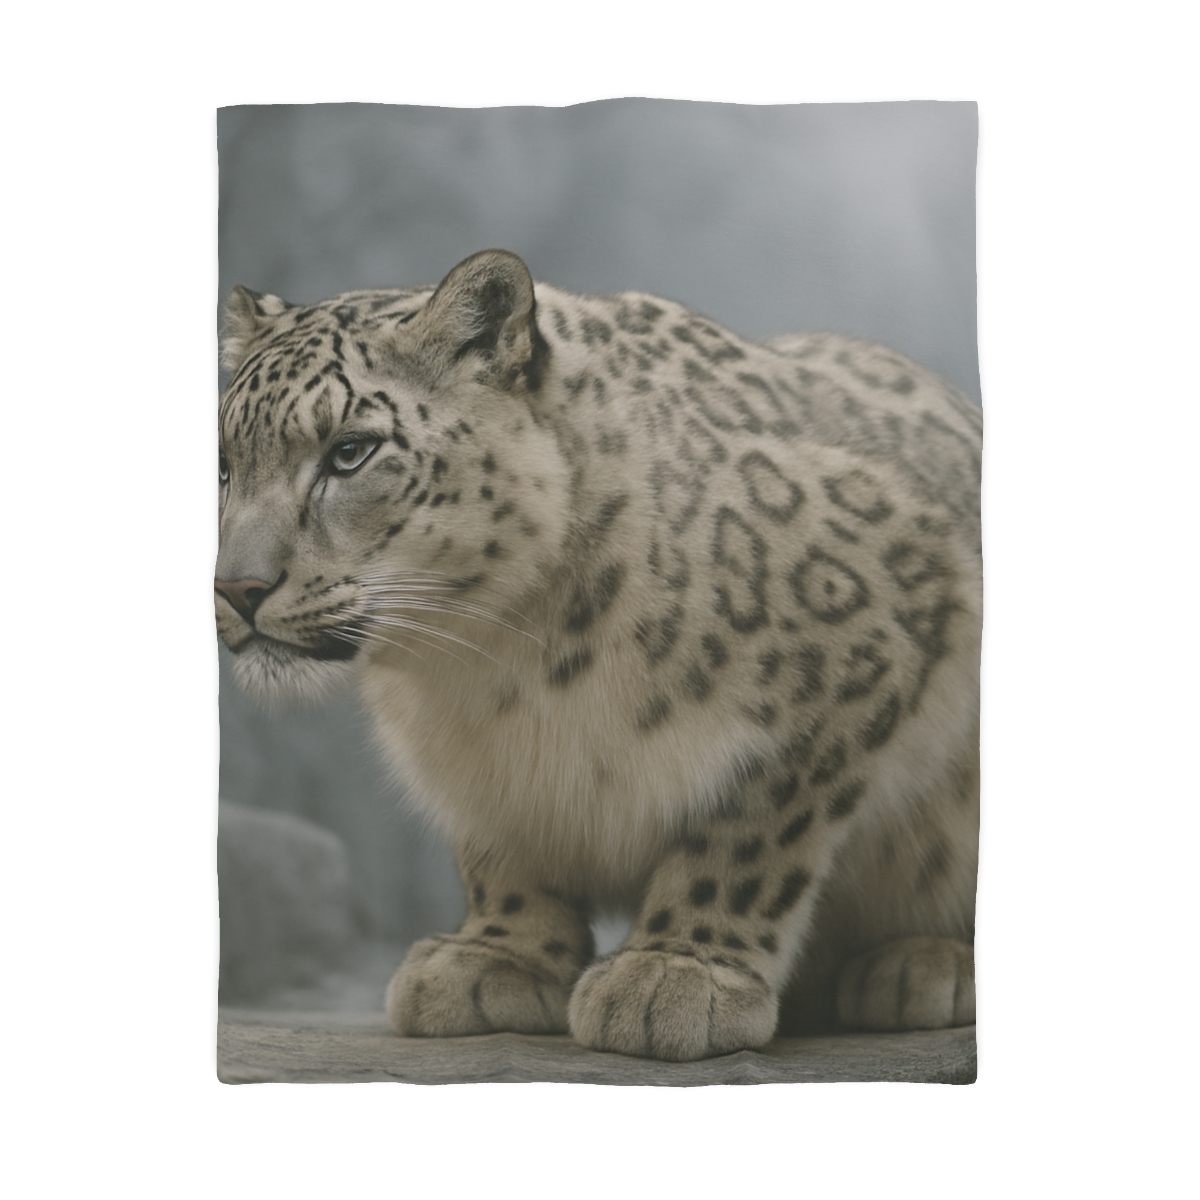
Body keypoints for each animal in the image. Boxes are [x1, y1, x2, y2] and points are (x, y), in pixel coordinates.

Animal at [216, 248, 981, 1062]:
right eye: (224, 464)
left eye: (350, 451)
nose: (236, 587)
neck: (498, 662)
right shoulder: (484, 763)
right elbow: (502, 847)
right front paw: (496, 956)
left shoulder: (856, 657)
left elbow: (747, 837)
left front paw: (676, 972)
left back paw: (925, 965)